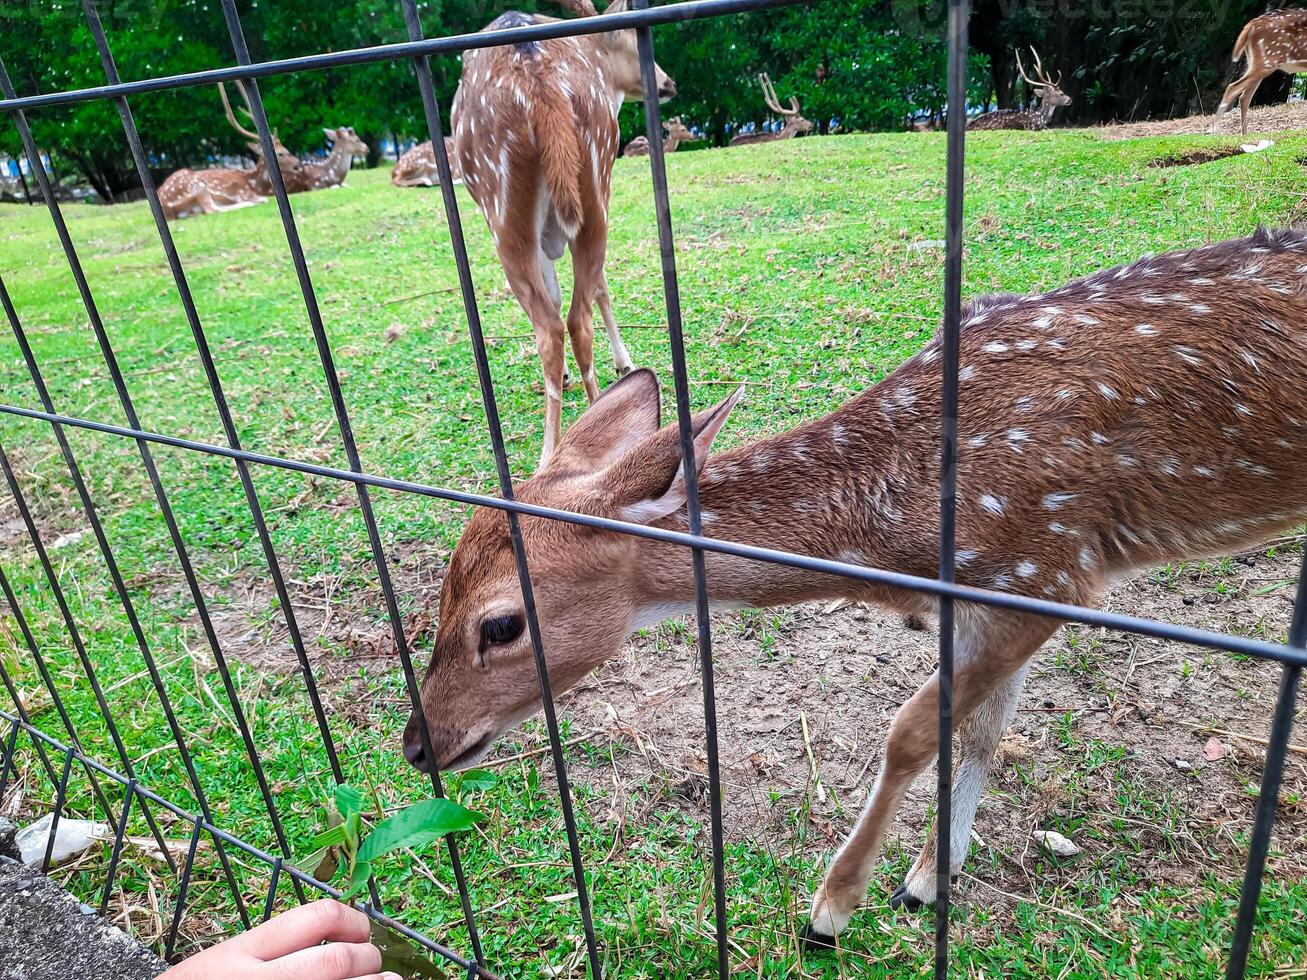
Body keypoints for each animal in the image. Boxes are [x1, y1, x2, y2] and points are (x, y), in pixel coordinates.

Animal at [156, 83, 299, 222]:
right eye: (281, 153)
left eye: (286, 149)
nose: (298, 164)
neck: (255, 183)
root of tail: (165, 206)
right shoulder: (243, 192)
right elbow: (264, 199)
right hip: (197, 186)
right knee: (211, 209)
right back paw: (246, 204)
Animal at [399, 228, 1307, 946]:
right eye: (442, 588)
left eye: (500, 624)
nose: (419, 745)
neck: (896, 539)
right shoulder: (1006, 593)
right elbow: (982, 730)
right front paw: (928, 876)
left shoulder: (1050, 570)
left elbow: (912, 729)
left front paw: (834, 906)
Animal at [449, 0, 674, 467]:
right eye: (627, 40)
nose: (668, 82)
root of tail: (541, 87)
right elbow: (594, 287)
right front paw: (625, 364)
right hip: (594, 185)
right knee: (573, 315)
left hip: (507, 212)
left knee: (554, 325)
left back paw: (555, 446)